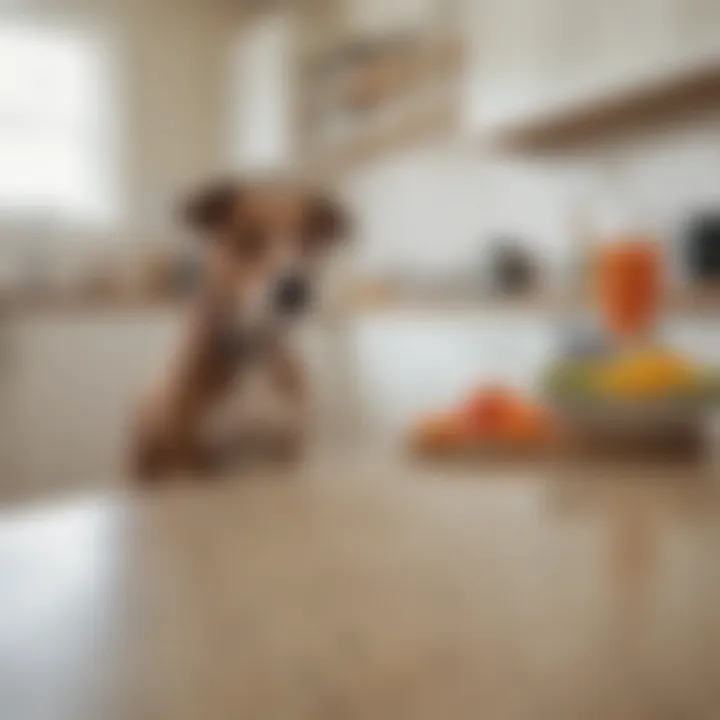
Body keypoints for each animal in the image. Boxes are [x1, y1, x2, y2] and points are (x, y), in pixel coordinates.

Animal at [134, 179, 350, 484]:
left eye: (309, 240)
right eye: (247, 238)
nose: (295, 288)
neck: (251, 349)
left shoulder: (288, 449)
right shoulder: (187, 458)